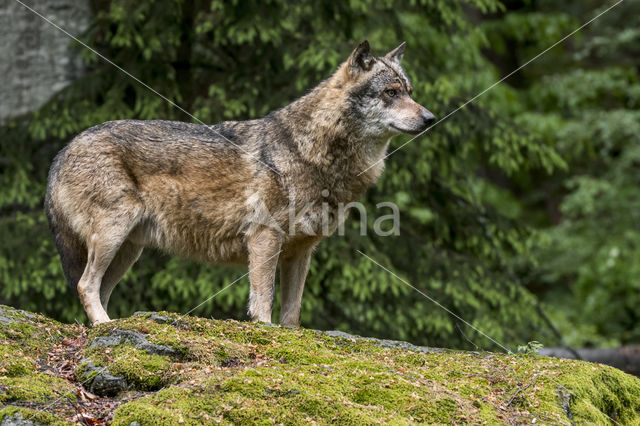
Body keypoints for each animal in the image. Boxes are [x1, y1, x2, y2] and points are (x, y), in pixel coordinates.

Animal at [43, 40, 436, 326]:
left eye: (410, 91)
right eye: (390, 93)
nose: (431, 118)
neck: (312, 152)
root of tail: (62, 152)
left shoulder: (301, 252)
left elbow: (292, 313)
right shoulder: (264, 238)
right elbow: (263, 302)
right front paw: (264, 330)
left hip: (127, 251)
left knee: (98, 289)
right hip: (114, 235)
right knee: (85, 285)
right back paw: (105, 326)